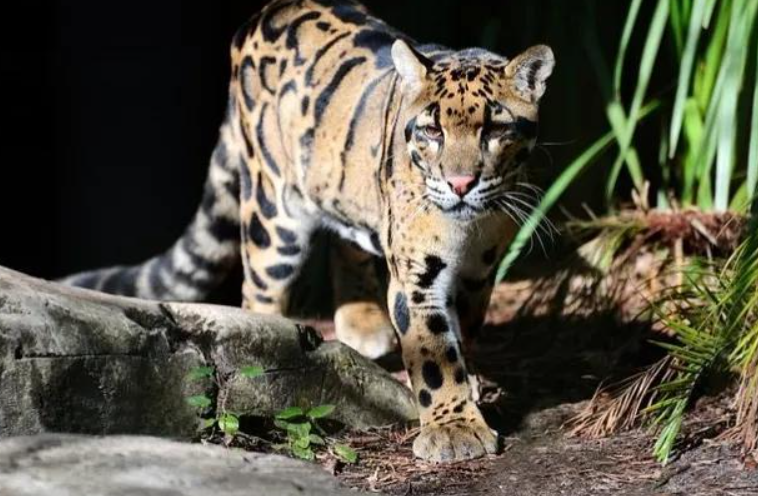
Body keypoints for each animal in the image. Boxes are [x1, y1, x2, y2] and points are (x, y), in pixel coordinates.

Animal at [62, 0, 554, 462]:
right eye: (432, 130)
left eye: (495, 128)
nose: (460, 184)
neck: (468, 228)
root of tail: (265, 13)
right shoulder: (417, 276)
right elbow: (434, 354)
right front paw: (454, 430)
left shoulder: (478, 273)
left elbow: (461, 335)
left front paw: (466, 396)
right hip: (271, 213)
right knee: (258, 291)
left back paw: (362, 323)